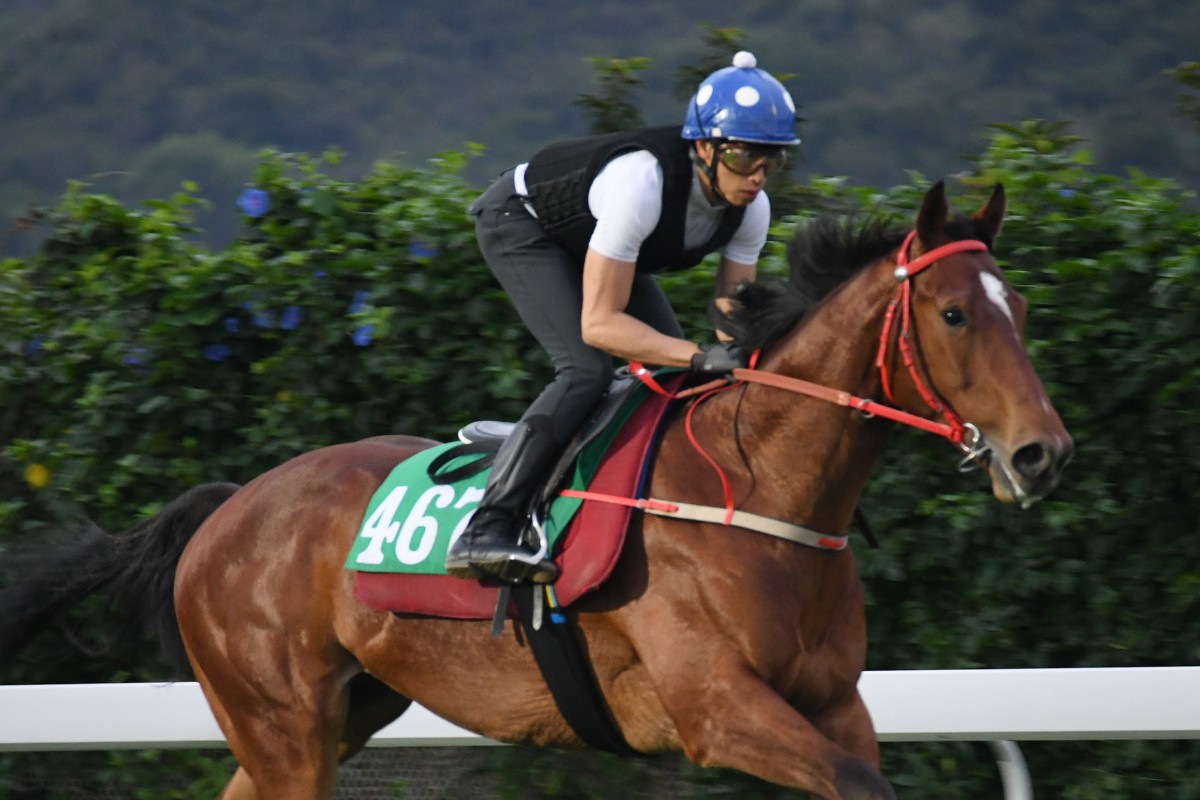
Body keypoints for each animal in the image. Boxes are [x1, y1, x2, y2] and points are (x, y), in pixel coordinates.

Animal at [0, 183, 1070, 800]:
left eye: (1020, 306)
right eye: (953, 313)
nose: (1041, 455)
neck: (761, 492)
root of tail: (228, 507)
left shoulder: (834, 705)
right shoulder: (716, 710)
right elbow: (853, 784)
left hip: (344, 713)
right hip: (282, 725)